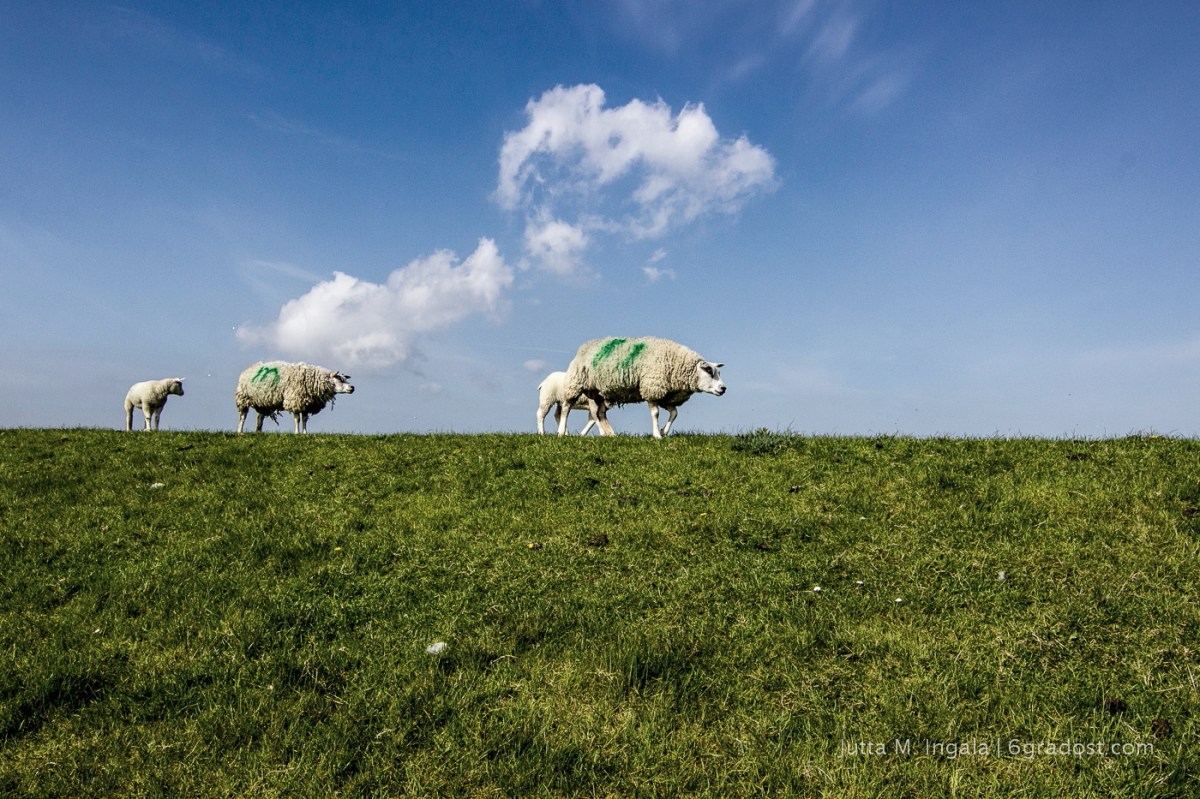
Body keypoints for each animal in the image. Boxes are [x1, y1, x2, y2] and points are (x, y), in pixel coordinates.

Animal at [559, 337, 725, 439]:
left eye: (718, 372)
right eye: (708, 370)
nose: (723, 388)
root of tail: (585, 346)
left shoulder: (665, 396)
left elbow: (674, 413)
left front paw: (664, 431)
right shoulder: (652, 388)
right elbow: (655, 414)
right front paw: (657, 435)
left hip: (598, 392)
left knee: (599, 413)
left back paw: (610, 434)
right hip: (575, 383)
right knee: (566, 407)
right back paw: (561, 432)